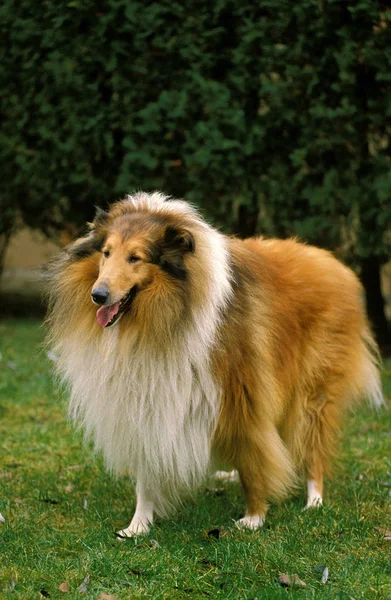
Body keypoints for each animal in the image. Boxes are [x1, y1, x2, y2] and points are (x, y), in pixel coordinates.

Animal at [45, 191, 382, 536]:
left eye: (135, 258)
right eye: (106, 252)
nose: (98, 295)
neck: (162, 317)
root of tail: (332, 262)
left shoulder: (243, 393)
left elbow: (252, 457)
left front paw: (254, 517)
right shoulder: (151, 398)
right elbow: (148, 471)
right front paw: (138, 526)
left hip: (313, 391)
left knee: (310, 445)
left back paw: (314, 499)